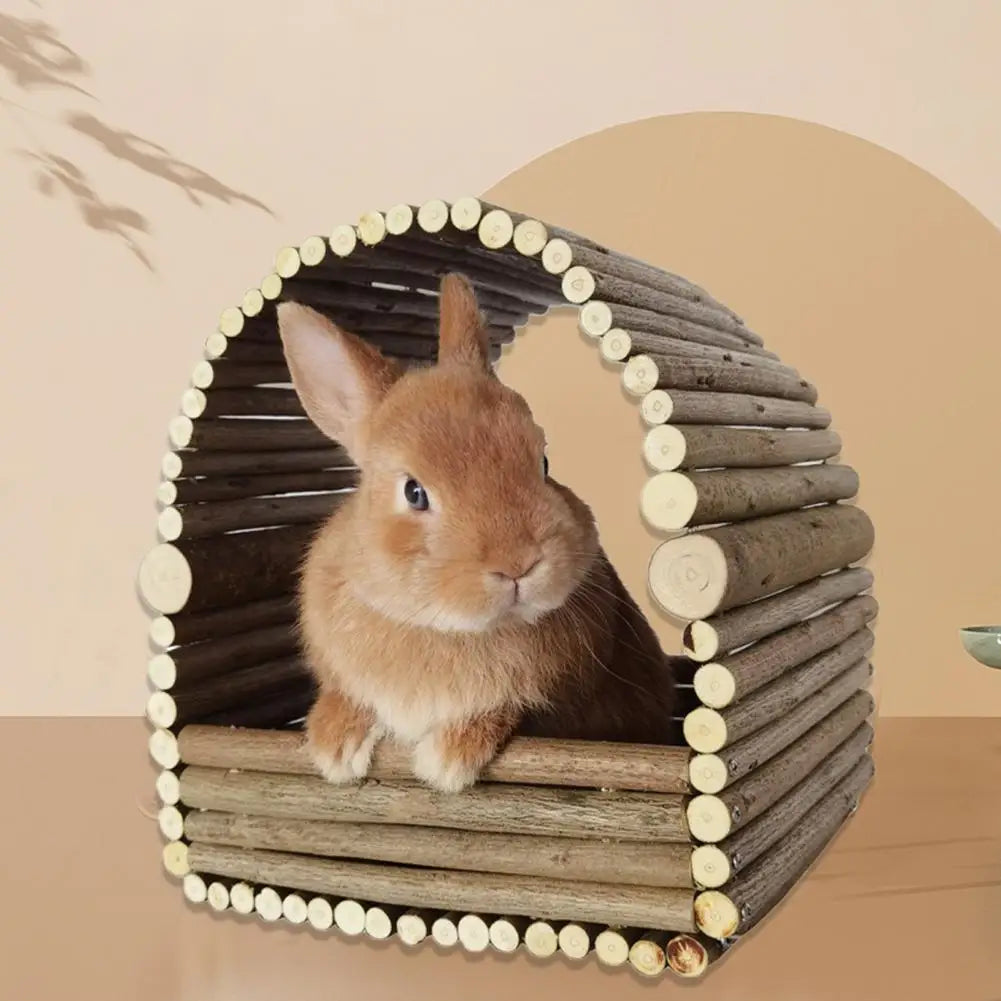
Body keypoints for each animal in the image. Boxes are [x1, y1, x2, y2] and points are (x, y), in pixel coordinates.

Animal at [276, 272, 683, 793]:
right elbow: (343, 695)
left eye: (543, 462)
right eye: (413, 492)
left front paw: (448, 761)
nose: (518, 564)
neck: (444, 627)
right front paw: (334, 748)